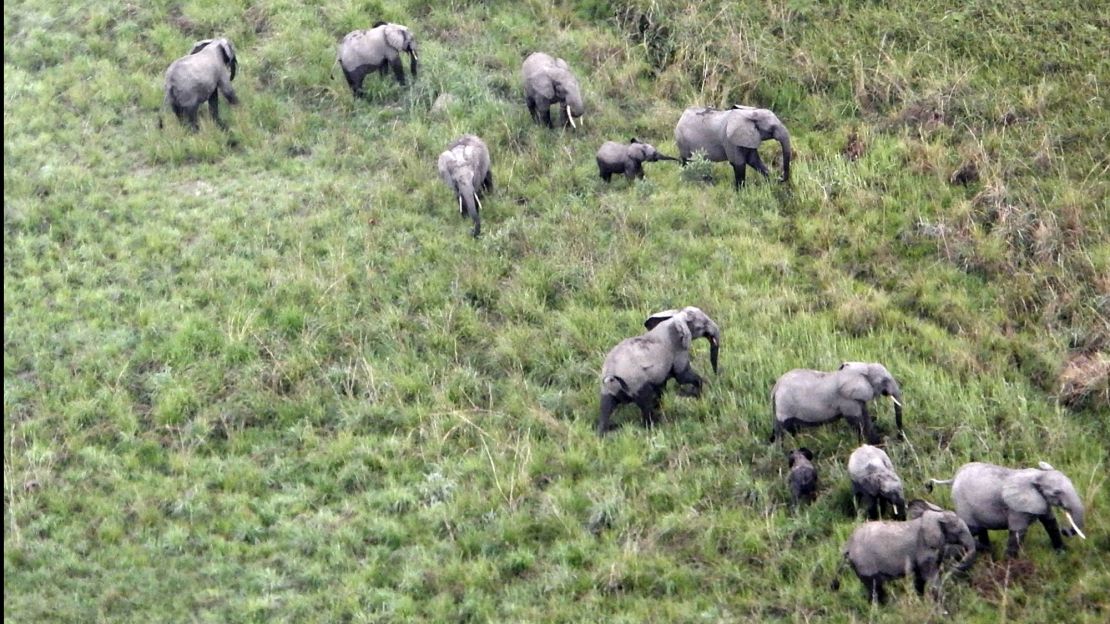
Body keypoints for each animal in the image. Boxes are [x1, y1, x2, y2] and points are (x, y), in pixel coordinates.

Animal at [599, 304, 719, 433]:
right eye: (702, 324)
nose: (716, 374)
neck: (674, 320)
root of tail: (611, 375)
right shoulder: (679, 351)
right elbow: (682, 376)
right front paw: (698, 394)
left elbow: (661, 387)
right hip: (636, 383)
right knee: (646, 404)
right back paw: (652, 427)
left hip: (607, 391)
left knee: (605, 409)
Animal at [772, 359, 901, 441]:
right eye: (884, 380)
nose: (899, 436)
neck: (864, 367)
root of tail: (776, 387)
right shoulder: (847, 400)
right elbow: (857, 421)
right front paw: (865, 443)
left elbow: (866, 417)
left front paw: (877, 442)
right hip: (785, 405)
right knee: (782, 429)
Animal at [830, 499, 976, 604]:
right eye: (959, 530)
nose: (953, 566)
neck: (934, 516)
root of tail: (847, 546)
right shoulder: (924, 549)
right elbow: (929, 577)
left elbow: (920, 580)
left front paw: (921, 602)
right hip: (864, 563)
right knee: (875, 588)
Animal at [923, 459, 1087, 555]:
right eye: (1057, 492)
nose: (1066, 530)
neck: (1037, 475)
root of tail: (954, 477)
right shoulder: (1017, 508)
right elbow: (1017, 532)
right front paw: (1011, 565)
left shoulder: (1040, 500)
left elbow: (1050, 523)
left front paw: (1062, 553)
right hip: (962, 501)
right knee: (971, 528)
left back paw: (986, 550)